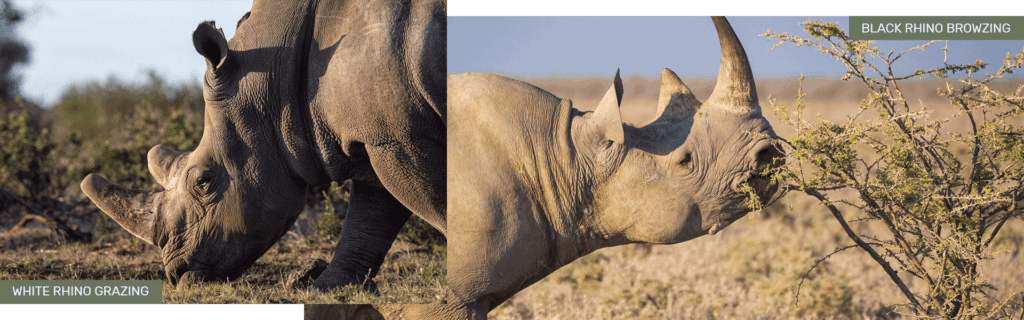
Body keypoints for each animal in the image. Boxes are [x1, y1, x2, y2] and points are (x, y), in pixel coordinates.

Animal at [77, 0, 446, 289]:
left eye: (203, 182)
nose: (176, 275)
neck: (278, 80)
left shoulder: (400, 134)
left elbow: (438, 207)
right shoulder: (379, 133)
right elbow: (370, 218)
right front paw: (325, 287)